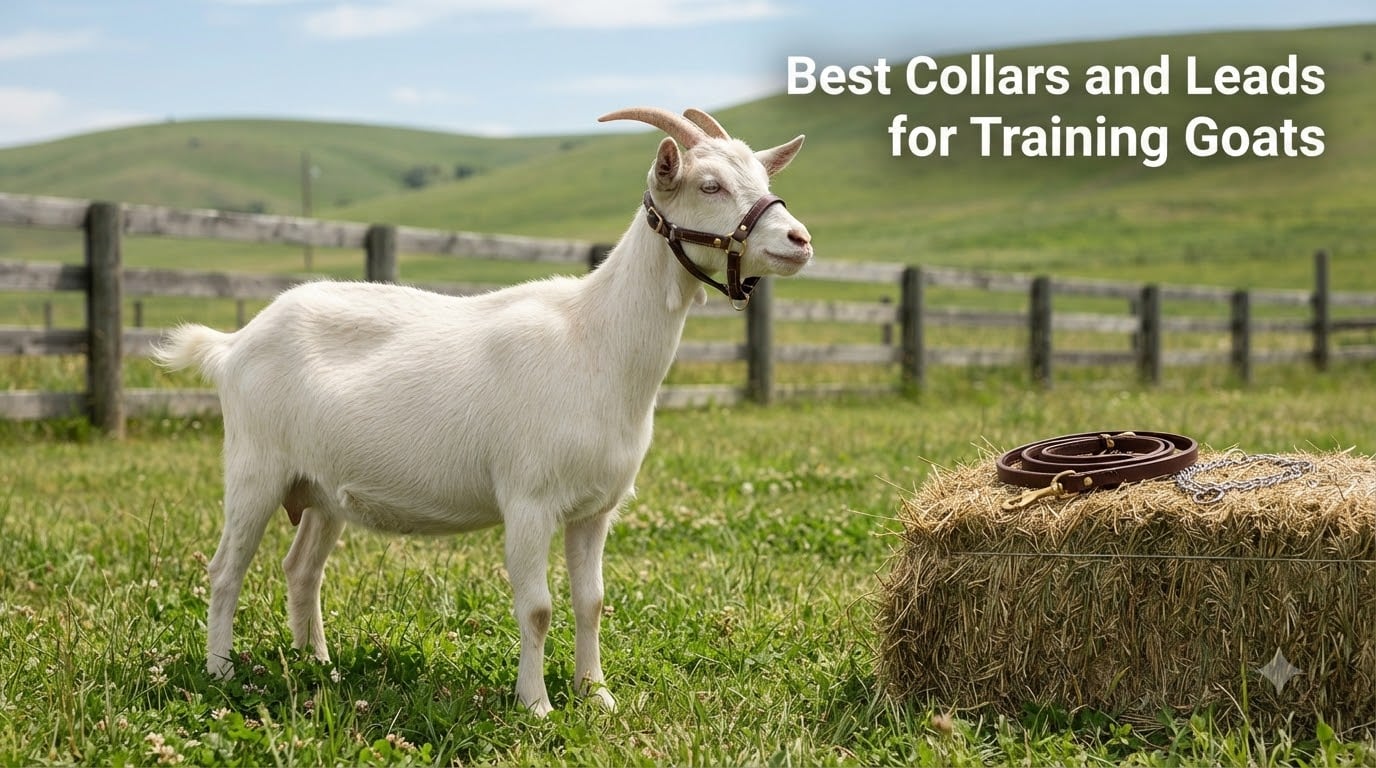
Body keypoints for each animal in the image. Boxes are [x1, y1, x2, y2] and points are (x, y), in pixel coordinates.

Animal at [153, 107, 812, 716]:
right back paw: (221, 673)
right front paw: (537, 705)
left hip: (319, 488)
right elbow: (538, 608)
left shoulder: (594, 510)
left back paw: (318, 664)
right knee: (225, 570)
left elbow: (592, 601)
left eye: (761, 174)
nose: (799, 240)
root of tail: (234, 344)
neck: (595, 341)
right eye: (709, 185)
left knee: (301, 570)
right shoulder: (528, 500)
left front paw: (596, 695)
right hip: (255, 469)